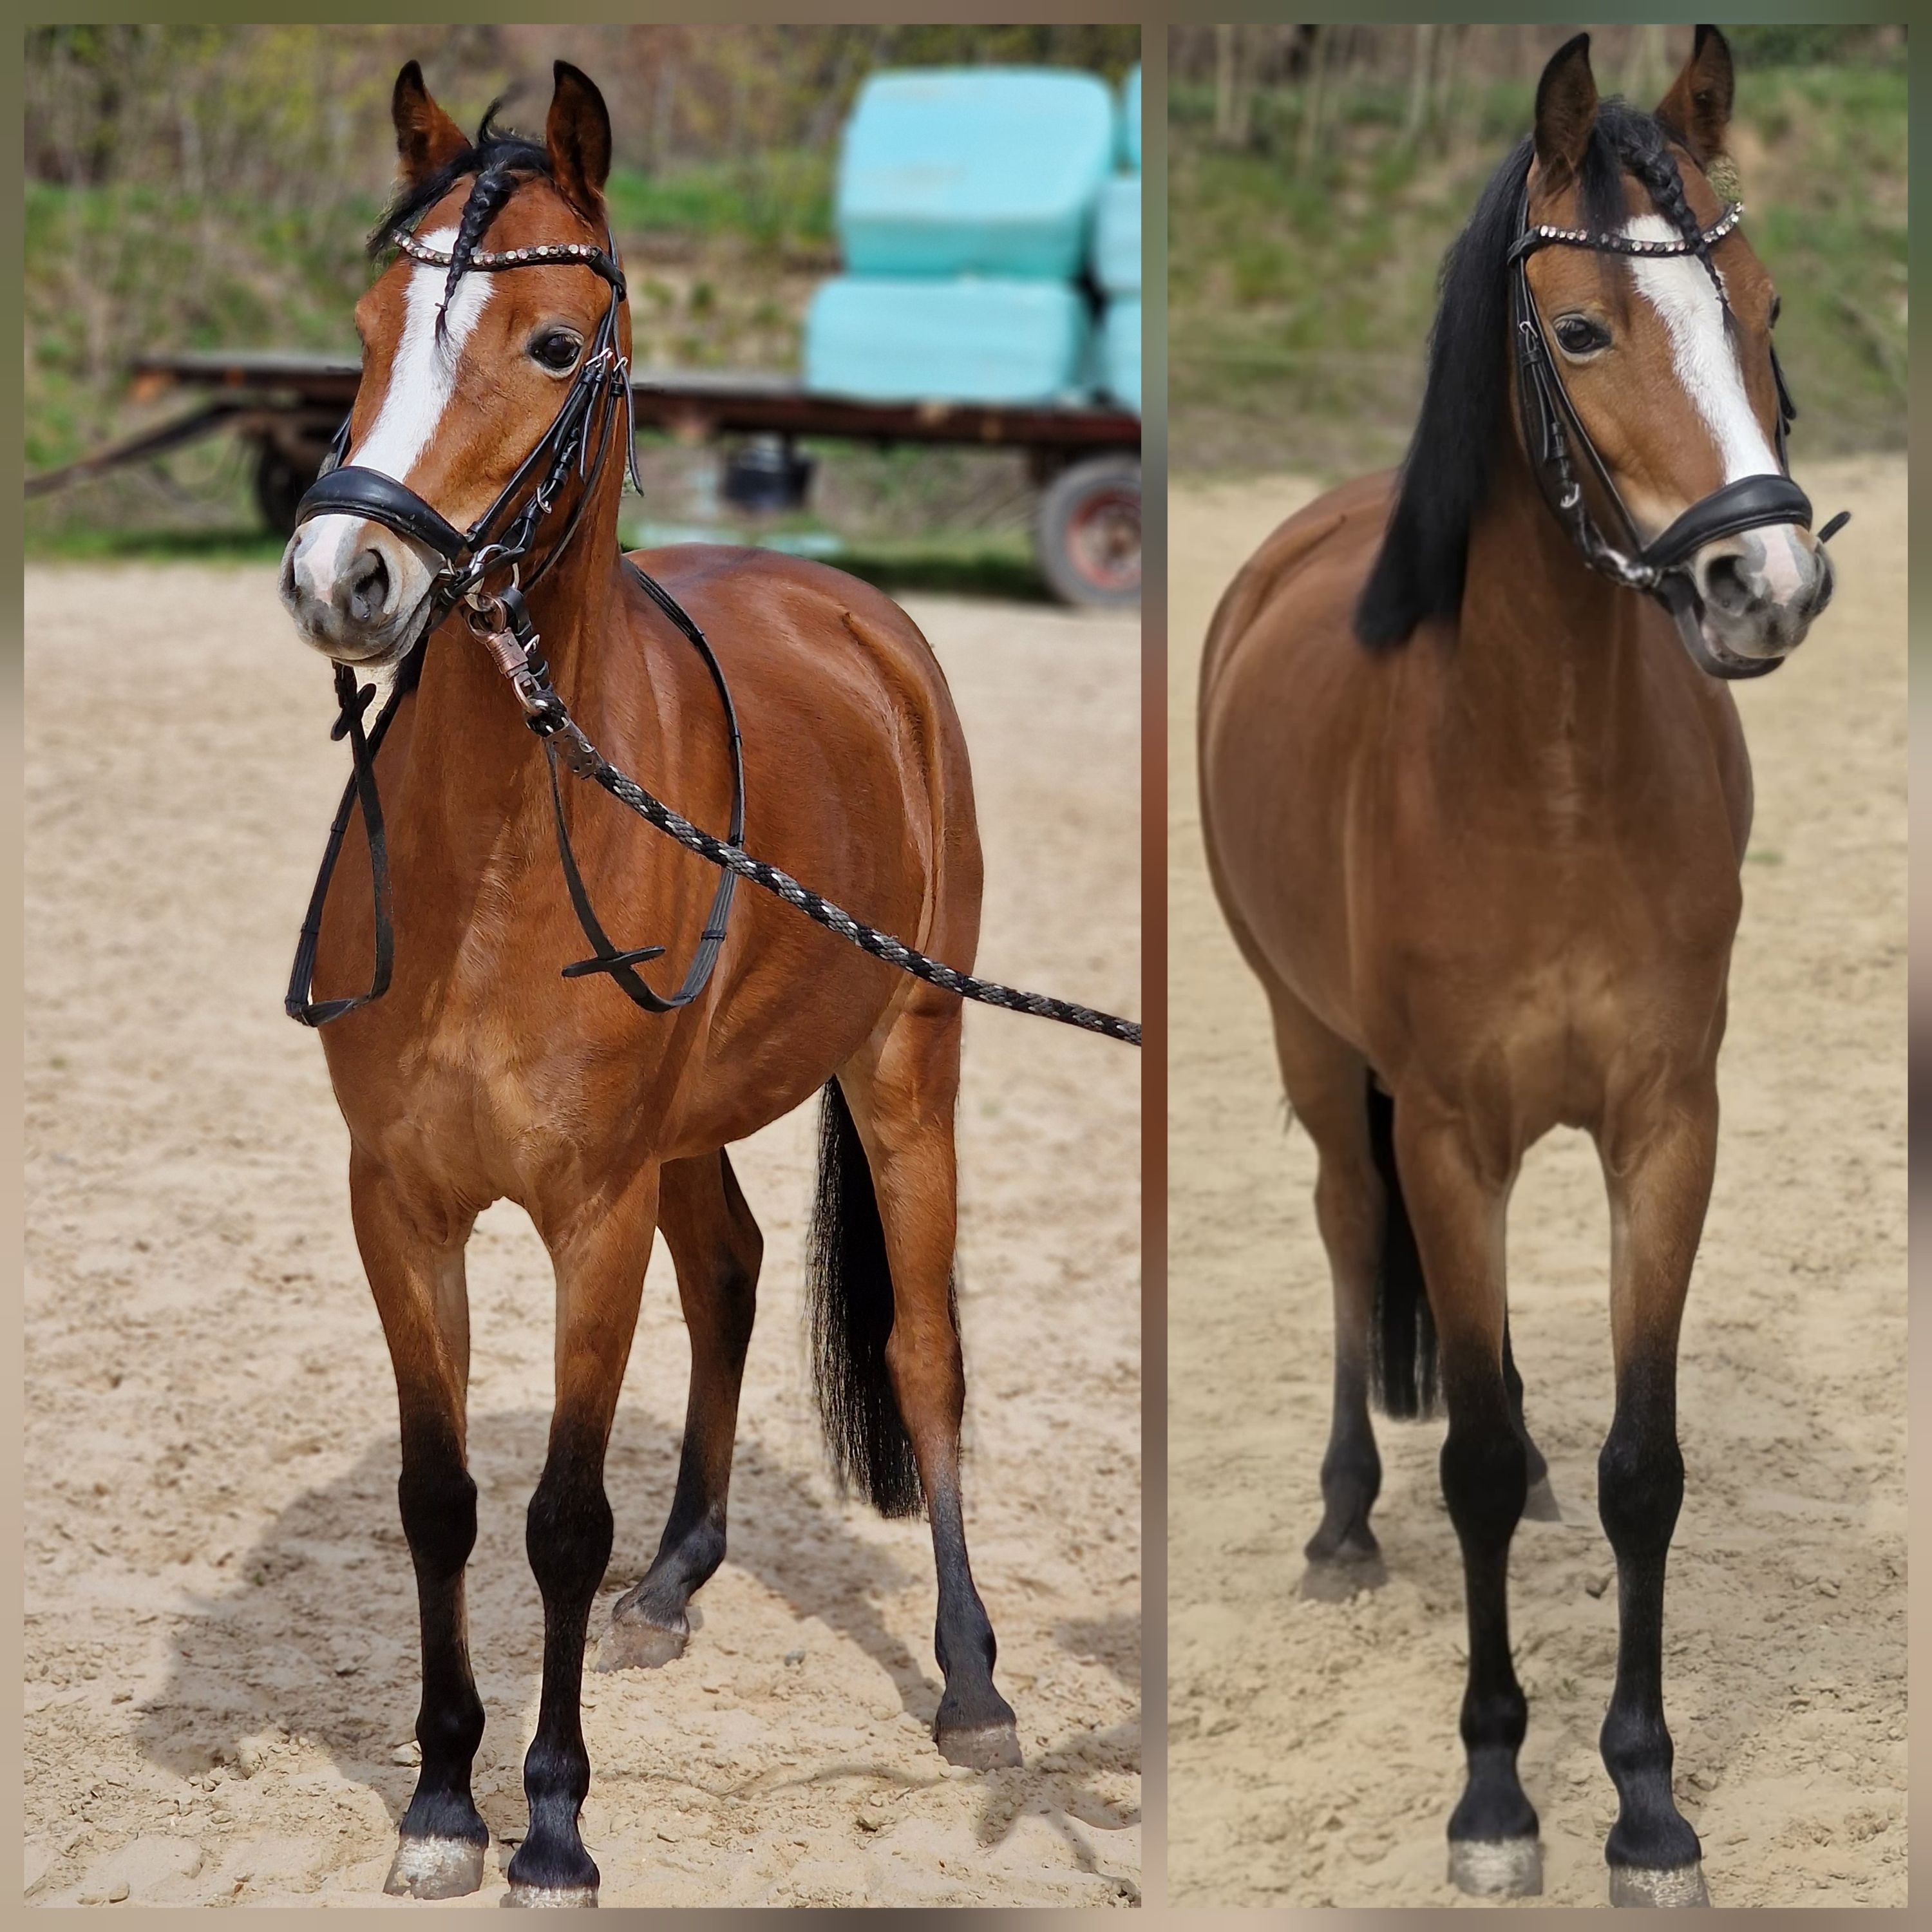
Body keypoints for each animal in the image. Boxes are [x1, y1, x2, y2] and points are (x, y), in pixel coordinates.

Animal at [276, 60, 1027, 1905]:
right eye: (369, 322)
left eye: (554, 346)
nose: (343, 578)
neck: (495, 857)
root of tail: (856, 611)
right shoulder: (400, 1204)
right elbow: (439, 1500)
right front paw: (440, 1801)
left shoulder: (588, 1208)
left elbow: (557, 1513)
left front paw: (550, 1819)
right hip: (693, 1133)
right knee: (739, 1274)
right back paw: (682, 1579)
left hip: (907, 1067)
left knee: (921, 1350)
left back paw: (972, 1686)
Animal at [1196, 29, 1838, 1909]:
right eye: (1577, 331)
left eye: (1761, 305)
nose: (1766, 582)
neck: (1542, 766)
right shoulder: (1446, 1136)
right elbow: (1468, 1461)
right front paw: (1494, 1799)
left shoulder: (1666, 1127)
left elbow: (1643, 1468)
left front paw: (1645, 1801)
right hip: (1319, 1056)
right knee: (1350, 1248)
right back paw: (1342, 1523)